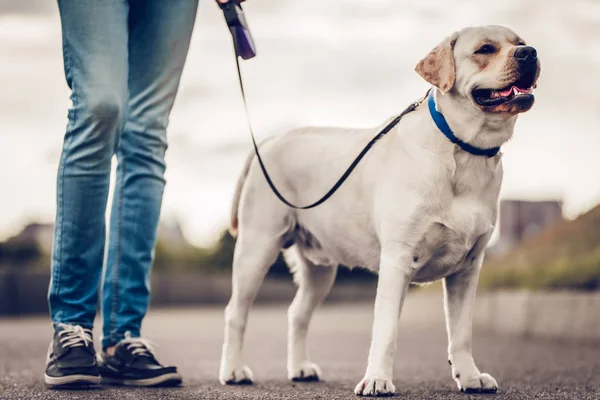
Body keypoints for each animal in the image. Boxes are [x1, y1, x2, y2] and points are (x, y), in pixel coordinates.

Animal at [218, 25, 540, 396]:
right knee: (236, 313)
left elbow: (461, 333)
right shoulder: (398, 259)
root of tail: (269, 141)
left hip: (319, 269)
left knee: (297, 313)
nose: (530, 53)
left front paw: (471, 377)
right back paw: (234, 371)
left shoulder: (468, 267)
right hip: (256, 248)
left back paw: (300, 368)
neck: (463, 150)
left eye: (520, 43)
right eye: (485, 49)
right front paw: (377, 379)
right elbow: (385, 331)